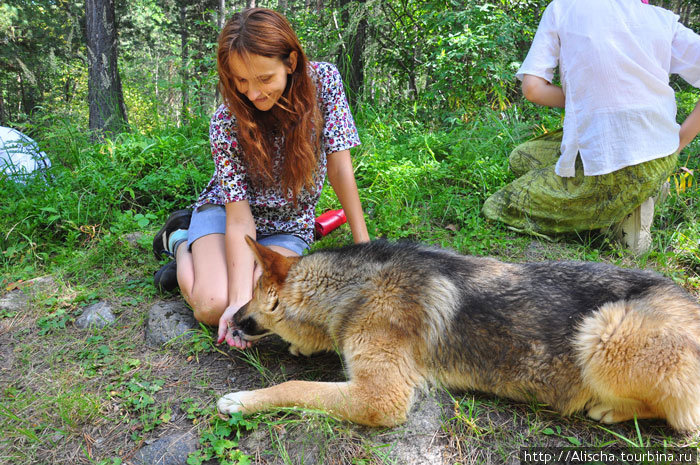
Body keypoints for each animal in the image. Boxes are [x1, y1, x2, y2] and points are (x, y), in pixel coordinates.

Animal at [219, 237, 700, 430]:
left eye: (252, 293)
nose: (232, 319)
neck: (354, 289)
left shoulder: (381, 396)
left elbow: (296, 388)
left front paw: (241, 400)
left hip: (602, 332)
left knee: (681, 415)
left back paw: (609, 410)